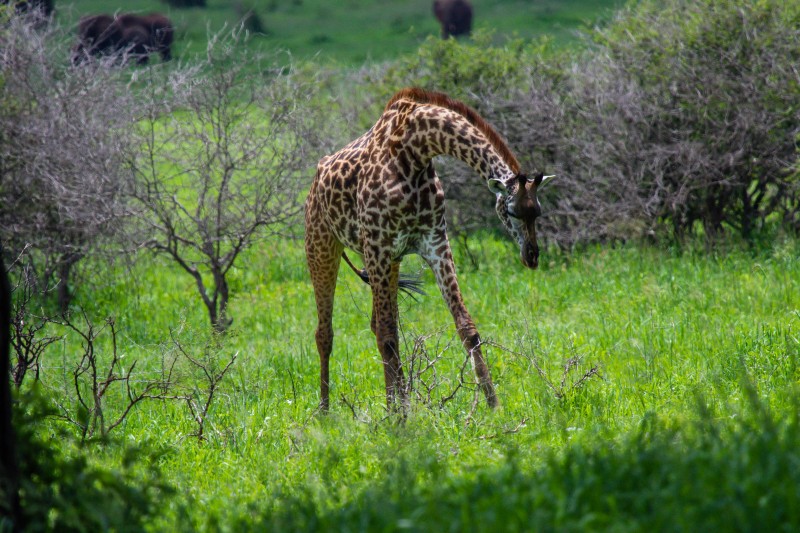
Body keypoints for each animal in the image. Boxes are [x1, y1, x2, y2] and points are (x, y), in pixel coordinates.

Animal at [304, 86, 552, 412]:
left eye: (537, 212)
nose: (532, 256)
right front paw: (399, 415)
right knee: (326, 333)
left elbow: (466, 328)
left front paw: (493, 405)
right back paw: (324, 411)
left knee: (376, 326)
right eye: (511, 212)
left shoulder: (434, 243)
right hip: (322, 246)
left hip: (389, 262)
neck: (414, 152)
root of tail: (316, 179)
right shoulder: (379, 246)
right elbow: (387, 335)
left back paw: (394, 399)